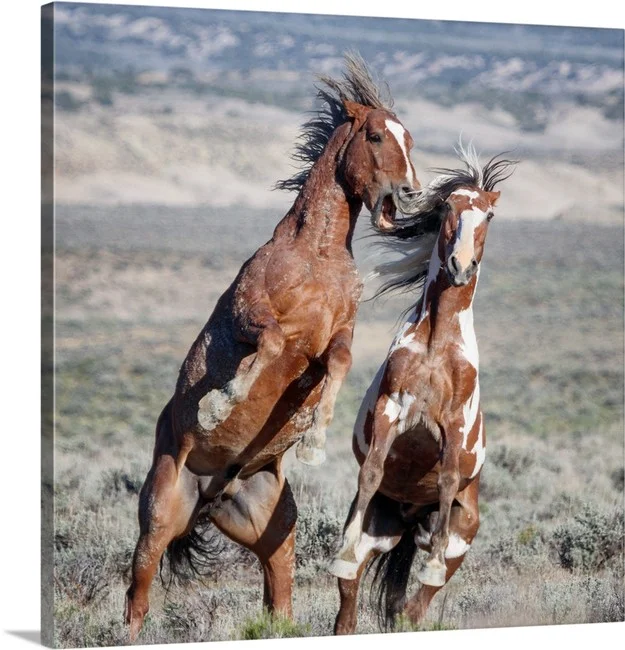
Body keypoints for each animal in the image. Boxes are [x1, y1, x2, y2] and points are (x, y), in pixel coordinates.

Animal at [124, 53, 420, 641]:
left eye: (410, 140)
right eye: (376, 136)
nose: (410, 192)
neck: (316, 254)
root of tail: (209, 495)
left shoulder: (338, 335)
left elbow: (339, 363)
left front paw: (314, 439)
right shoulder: (250, 313)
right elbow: (273, 340)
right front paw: (219, 406)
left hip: (274, 529)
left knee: (278, 599)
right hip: (160, 514)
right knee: (136, 598)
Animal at [329, 145, 516, 633]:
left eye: (489, 214)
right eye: (448, 208)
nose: (460, 266)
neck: (436, 347)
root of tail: (412, 518)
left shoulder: (452, 424)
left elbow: (448, 478)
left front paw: (429, 564)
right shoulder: (392, 408)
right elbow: (371, 471)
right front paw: (339, 555)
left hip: (460, 542)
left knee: (418, 604)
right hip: (379, 533)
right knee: (350, 596)